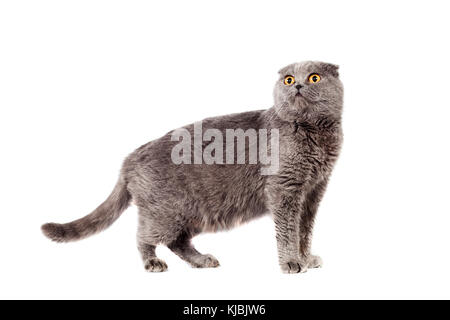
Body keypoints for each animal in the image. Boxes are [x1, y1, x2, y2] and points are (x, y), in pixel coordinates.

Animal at [43, 61, 344, 274]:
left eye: (314, 77)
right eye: (288, 79)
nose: (298, 86)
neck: (314, 133)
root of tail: (130, 157)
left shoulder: (314, 190)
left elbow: (304, 229)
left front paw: (306, 258)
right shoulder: (284, 190)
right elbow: (288, 230)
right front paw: (292, 262)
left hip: (194, 212)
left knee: (177, 241)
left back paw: (201, 260)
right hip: (166, 212)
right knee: (144, 235)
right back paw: (152, 262)